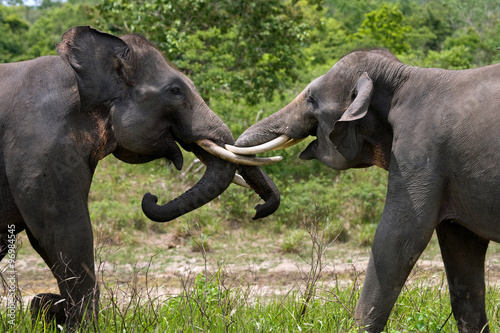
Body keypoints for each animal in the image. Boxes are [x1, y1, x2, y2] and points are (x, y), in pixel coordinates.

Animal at [233, 48, 500, 332]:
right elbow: (462, 249)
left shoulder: (419, 151)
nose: (258, 210)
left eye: (312, 99)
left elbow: (397, 239)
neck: (402, 75)